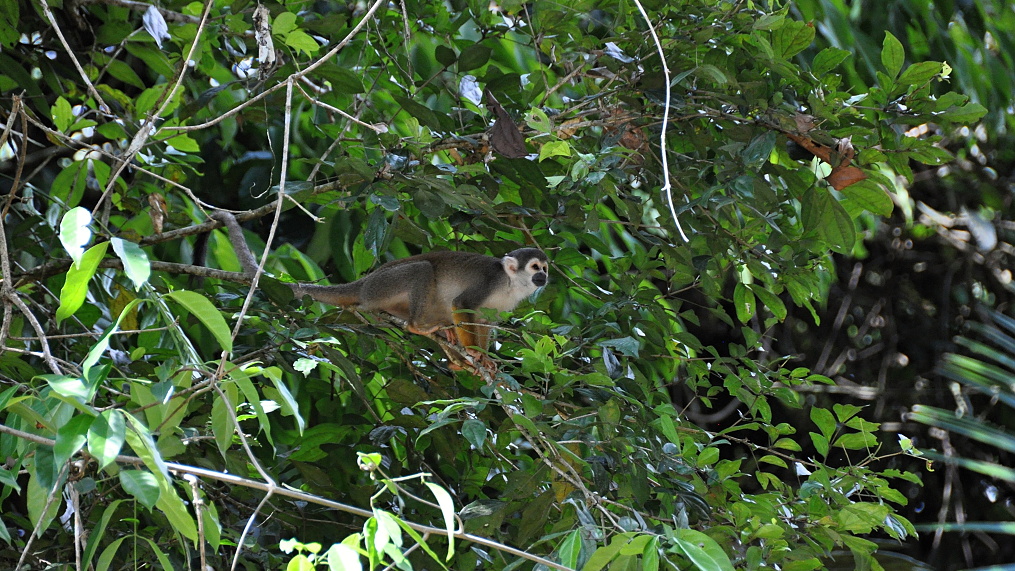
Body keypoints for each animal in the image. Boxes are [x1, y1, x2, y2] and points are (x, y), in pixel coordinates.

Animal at [210, 210, 552, 367]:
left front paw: (481, 358)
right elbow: (462, 304)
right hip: (381, 287)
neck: (510, 284)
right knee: (422, 270)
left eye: (545, 269)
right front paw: (475, 354)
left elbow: (481, 321)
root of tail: (365, 282)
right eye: (536, 268)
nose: (544, 279)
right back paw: (417, 326)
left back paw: (449, 346)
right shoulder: (487, 283)